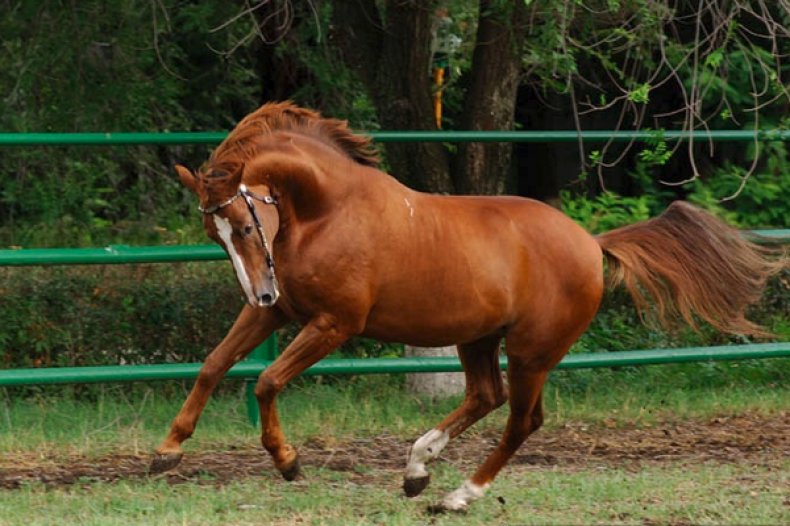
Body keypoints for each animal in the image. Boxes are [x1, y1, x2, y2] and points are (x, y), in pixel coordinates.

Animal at [152, 102, 784, 512]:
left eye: (242, 223)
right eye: (214, 235)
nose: (257, 289)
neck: (327, 210)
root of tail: (590, 242)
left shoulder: (333, 324)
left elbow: (266, 382)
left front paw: (287, 461)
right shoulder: (279, 315)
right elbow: (213, 365)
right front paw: (166, 453)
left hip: (532, 351)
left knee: (522, 419)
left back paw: (458, 494)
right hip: (477, 337)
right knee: (486, 396)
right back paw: (417, 470)